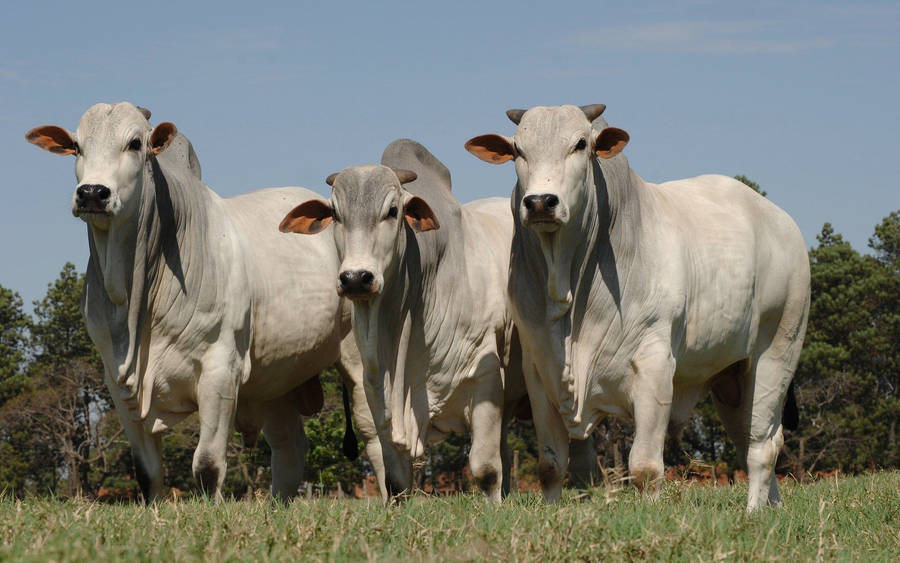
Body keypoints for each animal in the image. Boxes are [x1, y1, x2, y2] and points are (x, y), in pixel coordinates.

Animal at [25, 102, 362, 501]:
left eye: (135, 143)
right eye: (76, 146)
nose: (93, 192)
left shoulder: (221, 368)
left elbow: (207, 465)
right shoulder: (116, 380)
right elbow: (147, 472)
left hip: (359, 356)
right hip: (278, 376)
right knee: (289, 447)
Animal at [280, 139, 525, 502]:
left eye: (392, 211)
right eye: (335, 214)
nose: (356, 278)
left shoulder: (486, 375)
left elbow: (485, 469)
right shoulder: (375, 393)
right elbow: (395, 480)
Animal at [465, 105, 809, 511]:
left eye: (581, 144)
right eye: (518, 150)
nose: (539, 202)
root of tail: (782, 222)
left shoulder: (655, 367)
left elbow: (644, 467)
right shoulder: (540, 372)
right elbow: (550, 465)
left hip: (777, 351)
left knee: (761, 446)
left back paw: (754, 511)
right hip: (732, 376)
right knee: (756, 437)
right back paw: (773, 505)